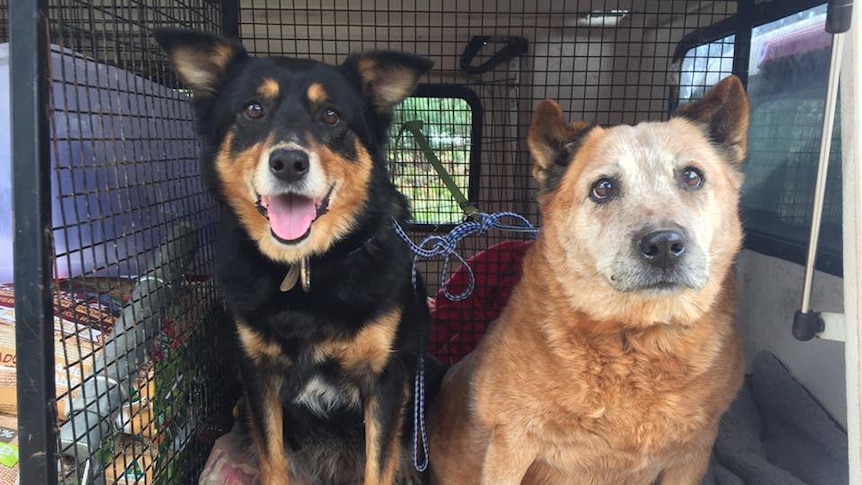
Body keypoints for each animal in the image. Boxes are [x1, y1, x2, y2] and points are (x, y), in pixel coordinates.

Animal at [155, 29, 436, 484]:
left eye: (331, 116)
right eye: (254, 109)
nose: (288, 162)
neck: (307, 267)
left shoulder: (386, 378)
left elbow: (379, 464)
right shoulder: (257, 377)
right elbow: (272, 460)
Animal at [430, 76, 748, 484]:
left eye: (692, 176)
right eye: (604, 187)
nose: (664, 244)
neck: (637, 341)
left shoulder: (693, 453)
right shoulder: (510, 442)